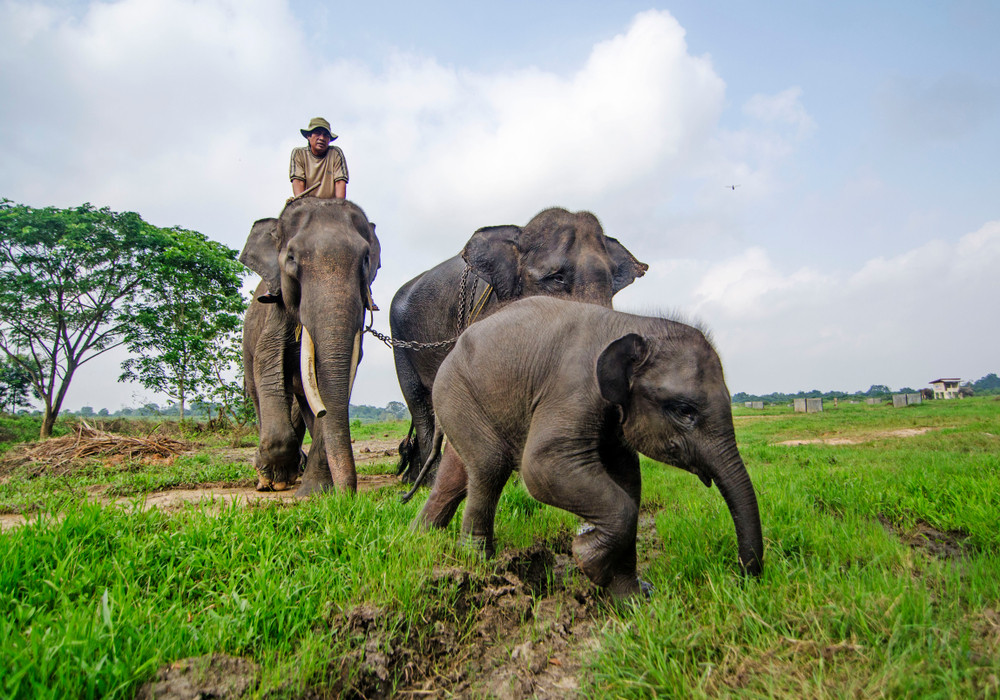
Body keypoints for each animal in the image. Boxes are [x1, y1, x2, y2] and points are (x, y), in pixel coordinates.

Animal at [240, 194, 380, 494]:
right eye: (291, 258)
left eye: (366, 259)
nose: (348, 496)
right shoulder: (275, 311)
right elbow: (268, 363)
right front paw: (276, 478)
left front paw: (314, 493)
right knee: (256, 392)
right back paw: (268, 478)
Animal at [386, 205, 644, 484]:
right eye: (557, 278)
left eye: (611, 281)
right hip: (400, 342)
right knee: (418, 402)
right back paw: (428, 481)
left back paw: (413, 479)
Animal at [414, 296, 764, 596]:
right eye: (683, 410)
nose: (741, 580)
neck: (632, 324)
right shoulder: (573, 387)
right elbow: (541, 465)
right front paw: (587, 559)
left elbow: (629, 483)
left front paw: (632, 598)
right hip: (455, 391)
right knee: (490, 465)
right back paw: (478, 563)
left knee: (458, 476)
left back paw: (420, 538)